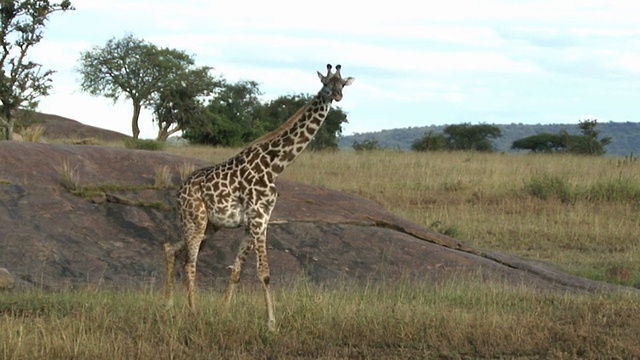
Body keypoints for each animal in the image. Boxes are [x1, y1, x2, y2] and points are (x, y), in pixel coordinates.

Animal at [164, 64, 356, 330]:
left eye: (342, 84)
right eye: (325, 84)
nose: (337, 96)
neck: (275, 165)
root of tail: (179, 191)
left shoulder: (254, 222)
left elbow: (236, 271)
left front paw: (223, 314)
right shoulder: (258, 218)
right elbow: (264, 273)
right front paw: (272, 324)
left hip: (210, 226)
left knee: (170, 248)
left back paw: (168, 306)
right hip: (196, 219)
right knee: (189, 263)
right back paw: (193, 312)